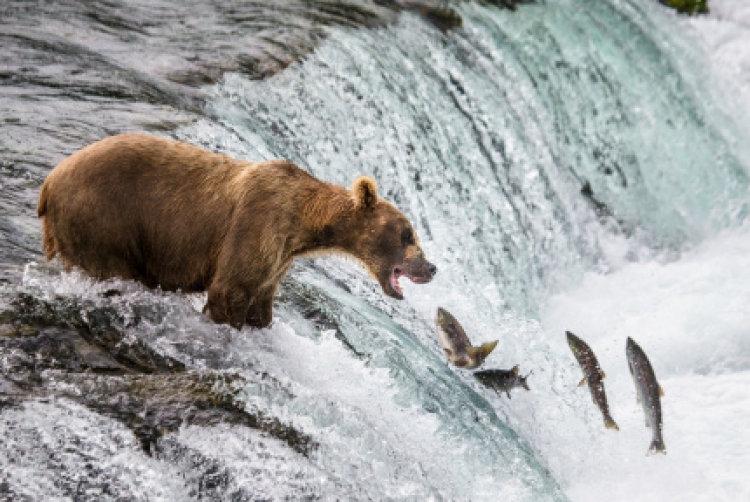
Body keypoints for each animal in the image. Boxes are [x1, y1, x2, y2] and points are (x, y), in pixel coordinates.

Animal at [36, 133, 434, 330]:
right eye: (407, 234)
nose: (430, 268)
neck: (304, 224)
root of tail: (48, 183)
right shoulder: (258, 224)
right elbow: (230, 290)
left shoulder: (278, 259)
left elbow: (260, 302)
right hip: (104, 220)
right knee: (114, 270)